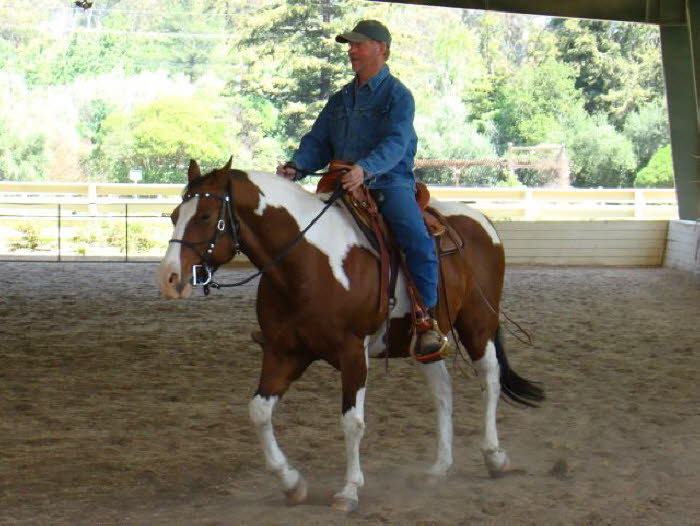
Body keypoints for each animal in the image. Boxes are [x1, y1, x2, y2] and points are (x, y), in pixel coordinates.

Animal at [156, 159, 544, 512]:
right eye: (174, 214)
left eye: (206, 216)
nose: (170, 278)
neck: (306, 261)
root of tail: (481, 220)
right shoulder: (284, 353)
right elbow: (259, 412)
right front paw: (292, 483)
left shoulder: (353, 352)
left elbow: (352, 422)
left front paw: (349, 490)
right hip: (426, 342)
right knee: (442, 392)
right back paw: (439, 468)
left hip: (478, 323)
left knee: (490, 379)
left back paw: (494, 456)